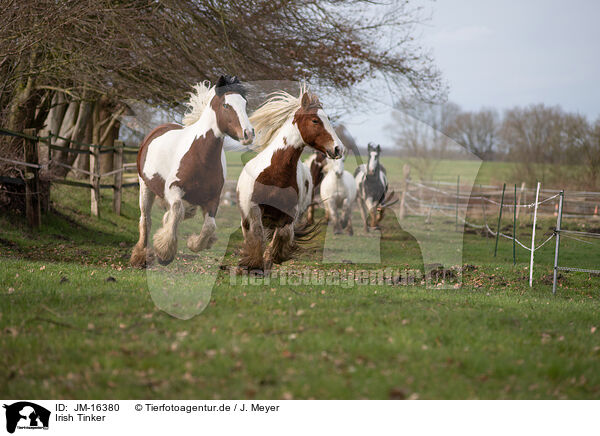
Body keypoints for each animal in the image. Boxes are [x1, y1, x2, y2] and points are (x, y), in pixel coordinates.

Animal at [130, 75, 254, 268]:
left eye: (244, 103)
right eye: (226, 105)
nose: (248, 134)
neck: (200, 156)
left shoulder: (213, 198)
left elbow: (209, 226)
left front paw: (195, 243)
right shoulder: (174, 189)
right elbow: (176, 211)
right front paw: (164, 253)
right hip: (145, 187)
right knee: (146, 220)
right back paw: (140, 256)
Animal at [237, 84, 344, 272]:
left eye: (328, 118)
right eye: (315, 120)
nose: (338, 148)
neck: (275, 174)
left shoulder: (289, 213)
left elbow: (282, 236)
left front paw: (271, 257)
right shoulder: (254, 208)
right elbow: (256, 235)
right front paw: (253, 263)